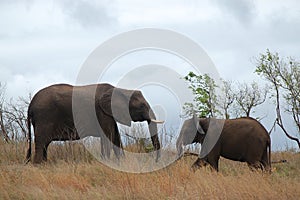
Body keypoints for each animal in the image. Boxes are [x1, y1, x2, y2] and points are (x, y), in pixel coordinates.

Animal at [26, 83, 163, 163]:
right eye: (141, 106)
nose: (155, 162)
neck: (120, 90)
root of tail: (30, 105)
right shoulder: (102, 112)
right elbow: (108, 136)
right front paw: (107, 162)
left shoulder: (109, 114)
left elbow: (115, 137)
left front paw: (122, 163)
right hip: (44, 117)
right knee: (41, 142)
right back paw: (39, 165)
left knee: (45, 144)